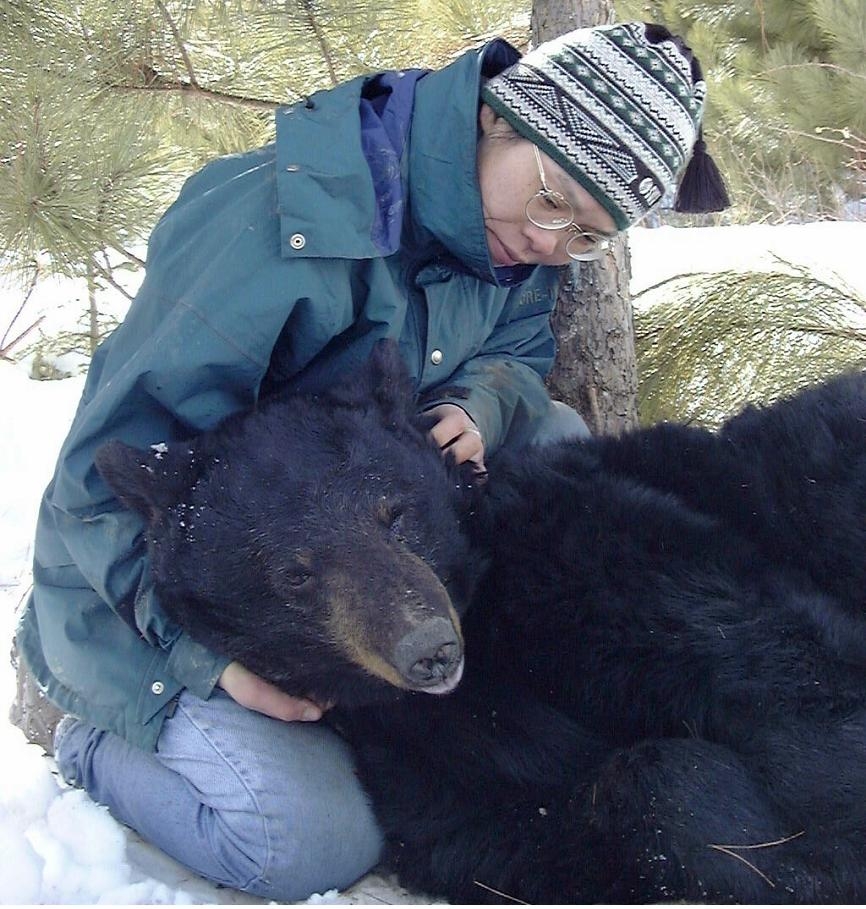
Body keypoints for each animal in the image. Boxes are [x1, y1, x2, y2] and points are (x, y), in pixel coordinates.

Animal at [93, 344, 866, 904]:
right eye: (294, 573)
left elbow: (784, 674)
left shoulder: (585, 550)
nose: (428, 650)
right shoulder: (425, 758)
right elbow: (527, 831)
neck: (486, 635)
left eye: (396, 512)